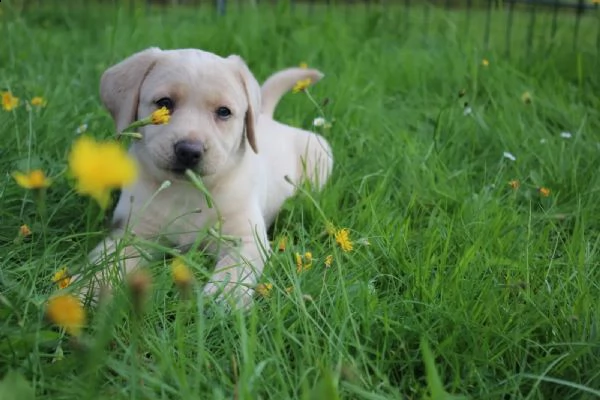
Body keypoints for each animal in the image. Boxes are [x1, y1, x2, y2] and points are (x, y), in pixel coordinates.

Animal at [79, 47, 332, 310]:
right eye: (164, 103)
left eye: (223, 112)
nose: (189, 151)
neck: (186, 191)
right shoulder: (132, 233)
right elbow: (106, 262)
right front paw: (86, 290)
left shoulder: (247, 238)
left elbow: (234, 269)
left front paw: (224, 298)